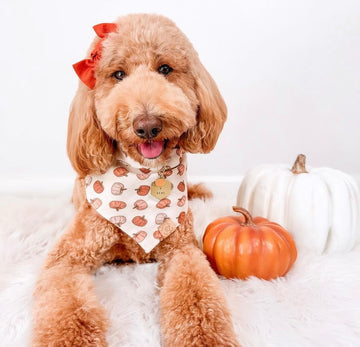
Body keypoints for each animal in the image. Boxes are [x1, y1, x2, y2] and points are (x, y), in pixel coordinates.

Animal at [31, 13, 239, 347]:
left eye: (165, 69)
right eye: (118, 74)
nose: (148, 125)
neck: (140, 180)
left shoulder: (182, 249)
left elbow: (197, 298)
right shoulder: (67, 258)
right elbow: (67, 307)